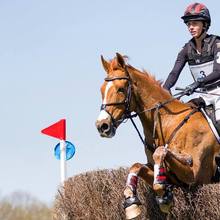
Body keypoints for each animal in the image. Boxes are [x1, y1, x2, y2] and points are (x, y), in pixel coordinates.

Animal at [95, 52, 220, 219]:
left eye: (121, 89)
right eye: (102, 90)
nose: (102, 126)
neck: (167, 122)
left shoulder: (196, 175)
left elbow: (160, 152)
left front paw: (163, 192)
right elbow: (136, 166)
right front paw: (131, 202)